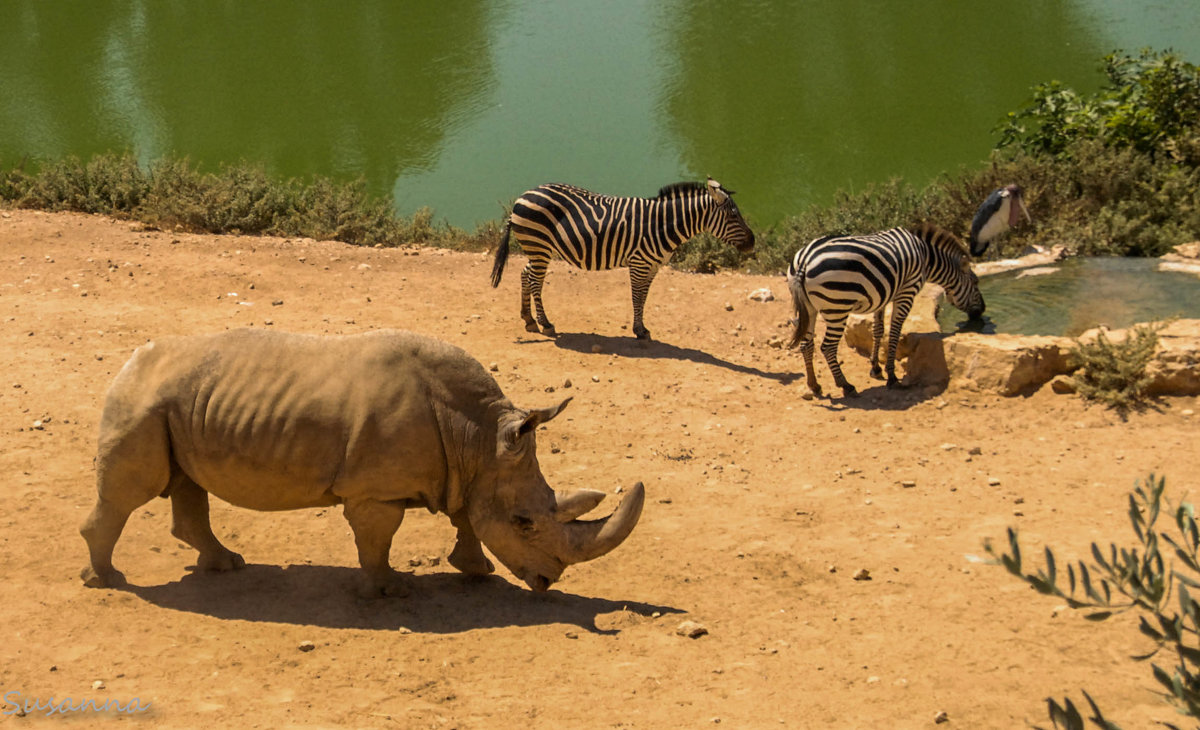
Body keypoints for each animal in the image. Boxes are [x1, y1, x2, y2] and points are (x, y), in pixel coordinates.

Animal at [487, 177, 748, 340]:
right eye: (734, 216)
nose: (753, 242)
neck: (662, 224)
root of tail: (522, 197)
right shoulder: (639, 263)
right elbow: (636, 297)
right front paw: (639, 330)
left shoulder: (653, 266)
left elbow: (644, 297)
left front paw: (642, 328)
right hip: (539, 245)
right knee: (535, 281)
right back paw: (546, 323)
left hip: (538, 248)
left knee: (526, 275)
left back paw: (529, 319)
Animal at [787, 183, 1032, 398]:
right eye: (976, 282)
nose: (982, 311)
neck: (926, 256)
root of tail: (805, 260)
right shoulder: (907, 292)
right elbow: (894, 332)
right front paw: (892, 376)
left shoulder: (883, 294)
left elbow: (878, 330)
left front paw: (875, 368)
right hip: (837, 308)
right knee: (827, 347)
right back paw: (846, 386)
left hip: (810, 308)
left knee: (806, 344)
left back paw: (814, 385)